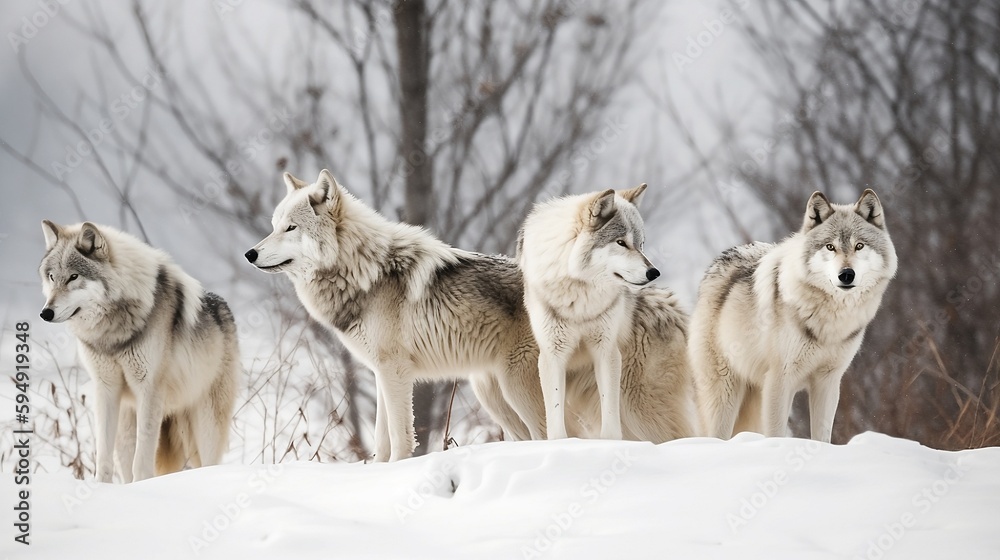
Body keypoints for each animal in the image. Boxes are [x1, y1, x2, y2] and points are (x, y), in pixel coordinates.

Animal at [38, 221, 240, 482]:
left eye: (74, 277)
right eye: (52, 277)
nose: (45, 313)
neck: (112, 332)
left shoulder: (149, 389)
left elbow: (143, 457)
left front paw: (142, 485)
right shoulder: (105, 389)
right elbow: (103, 454)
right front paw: (101, 487)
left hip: (205, 426)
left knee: (208, 462)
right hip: (126, 428)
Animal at [245, 170, 550, 461]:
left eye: (291, 227)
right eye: (274, 227)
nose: (249, 254)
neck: (364, 271)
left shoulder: (395, 370)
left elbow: (399, 436)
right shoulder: (381, 372)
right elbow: (381, 438)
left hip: (516, 387)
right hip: (493, 396)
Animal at [518, 185, 672, 440]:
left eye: (641, 244)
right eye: (621, 242)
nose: (654, 272)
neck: (580, 294)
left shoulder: (606, 350)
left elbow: (609, 410)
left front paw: (609, 444)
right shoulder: (552, 354)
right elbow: (555, 413)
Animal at [689, 189, 897, 442]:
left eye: (859, 246)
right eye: (830, 247)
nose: (846, 274)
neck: (830, 320)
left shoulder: (828, 381)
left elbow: (821, 436)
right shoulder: (780, 379)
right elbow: (776, 433)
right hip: (724, 394)